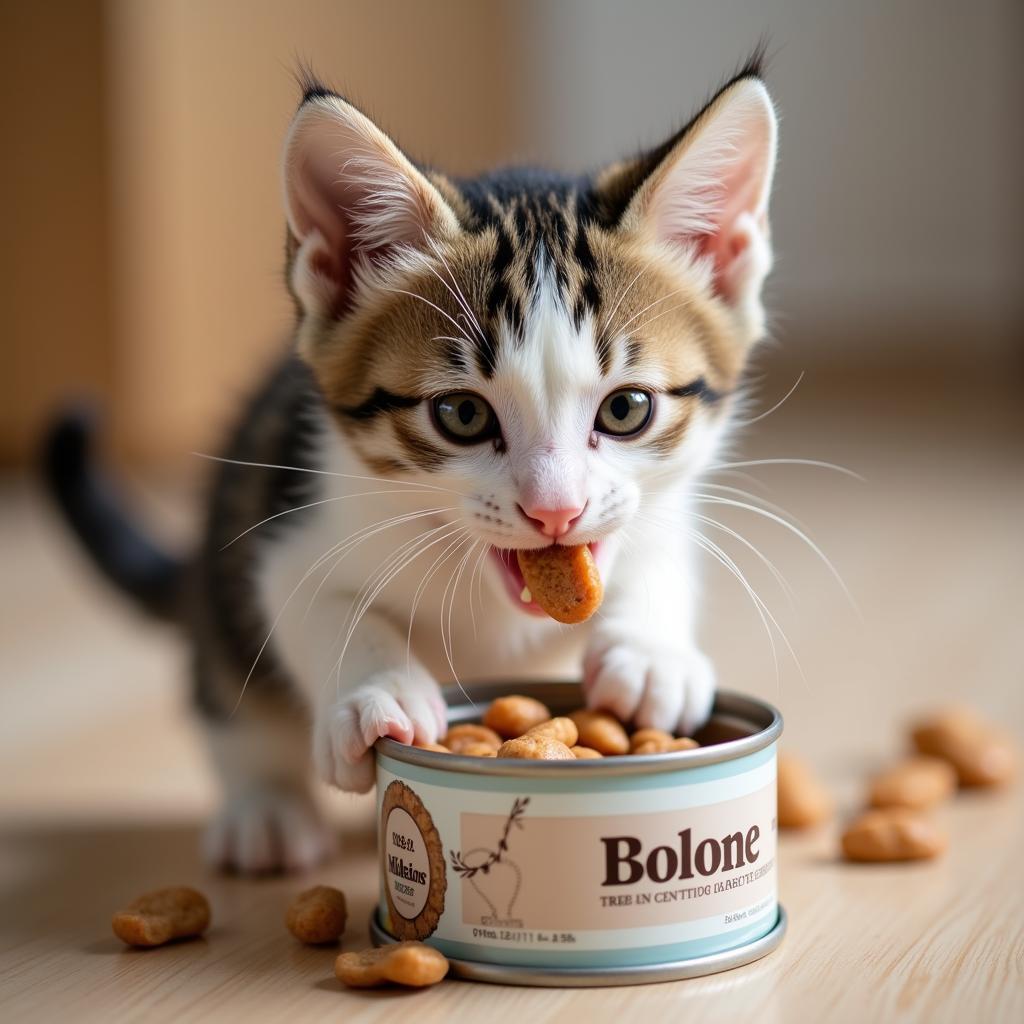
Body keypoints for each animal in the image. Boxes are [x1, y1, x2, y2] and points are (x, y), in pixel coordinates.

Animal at [41, 58, 774, 872]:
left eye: (626, 410)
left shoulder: (661, 511)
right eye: (462, 416)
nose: (555, 511)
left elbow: (656, 559)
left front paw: (649, 656)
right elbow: (315, 600)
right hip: (230, 539)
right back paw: (263, 809)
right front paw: (378, 691)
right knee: (231, 693)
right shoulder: (288, 524)